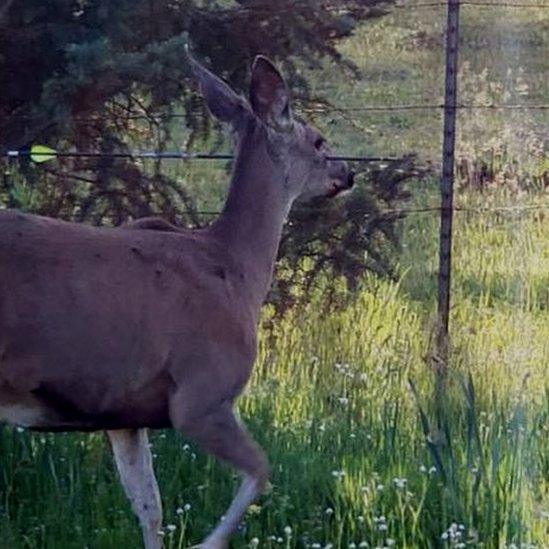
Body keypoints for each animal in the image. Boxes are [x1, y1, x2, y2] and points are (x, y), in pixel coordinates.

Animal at [0, 53, 354, 544]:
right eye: (319, 141)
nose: (348, 173)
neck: (236, 269)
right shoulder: (201, 391)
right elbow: (261, 470)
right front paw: (207, 543)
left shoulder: (123, 414)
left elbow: (149, 505)